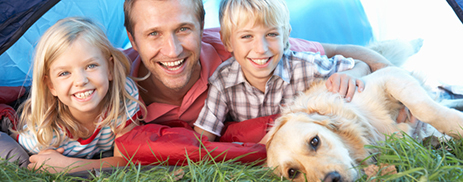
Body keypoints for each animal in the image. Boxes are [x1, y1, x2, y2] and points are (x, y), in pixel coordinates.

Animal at [266, 40, 463, 182]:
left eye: (314, 141)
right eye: (292, 172)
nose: (331, 179)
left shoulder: (388, 76)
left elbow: (423, 109)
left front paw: (457, 125)